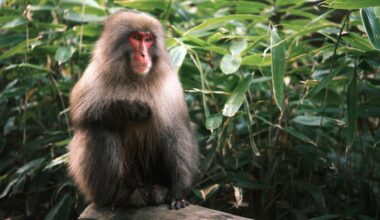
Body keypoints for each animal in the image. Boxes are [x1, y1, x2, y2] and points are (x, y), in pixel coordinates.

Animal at [68, 10, 199, 210]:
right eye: (136, 38)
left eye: (148, 39)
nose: (144, 54)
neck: (135, 77)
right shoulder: (95, 75)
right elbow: (81, 115)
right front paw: (130, 109)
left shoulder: (170, 87)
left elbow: (176, 131)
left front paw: (178, 191)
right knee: (100, 129)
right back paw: (117, 196)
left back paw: (160, 190)